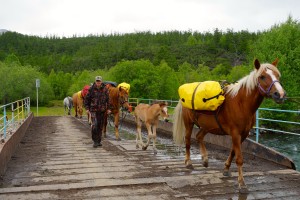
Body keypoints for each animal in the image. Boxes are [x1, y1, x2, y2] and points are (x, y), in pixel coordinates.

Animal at [172, 58, 284, 193]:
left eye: (277, 75)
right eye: (262, 76)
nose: (280, 94)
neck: (241, 103)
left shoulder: (243, 134)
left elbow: (233, 152)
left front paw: (226, 169)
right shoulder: (235, 133)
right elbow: (239, 158)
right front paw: (242, 183)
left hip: (207, 126)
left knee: (199, 136)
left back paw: (205, 159)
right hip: (189, 124)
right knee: (188, 141)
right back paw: (188, 162)